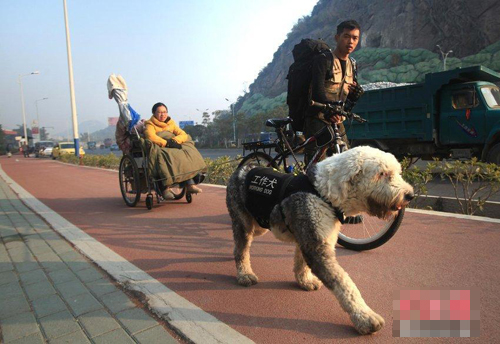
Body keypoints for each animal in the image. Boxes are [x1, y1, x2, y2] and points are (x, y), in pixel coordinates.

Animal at [227, 146, 414, 334]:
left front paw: (305, 281)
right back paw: (245, 274)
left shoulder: (310, 236)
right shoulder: (317, 247)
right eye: (382, 173)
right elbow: (344, 283)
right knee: (241, 248)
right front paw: (365, 317)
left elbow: (301, 262)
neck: (324, 193)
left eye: (398, 172)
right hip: (243, 221)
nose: (410, 195)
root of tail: (241, 168)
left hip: (260, 224)